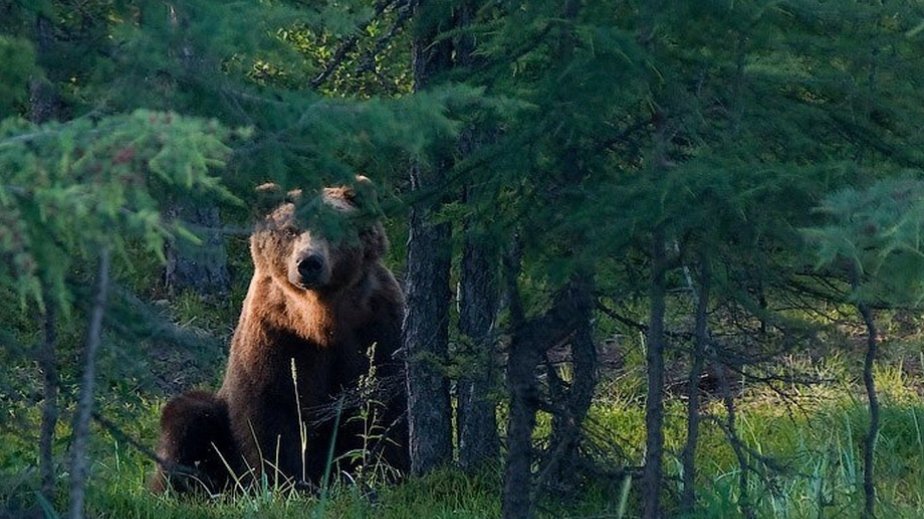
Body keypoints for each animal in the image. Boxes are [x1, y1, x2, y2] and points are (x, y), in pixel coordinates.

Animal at [152, 176, 409, 494]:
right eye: (290, 230)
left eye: (334, 225)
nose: (308, 262)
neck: (319, 318)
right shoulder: (275, 334)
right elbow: (269, 411)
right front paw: (284, 482)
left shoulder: (375, 325)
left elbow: (386, 401)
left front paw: (387, 471)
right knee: (187, 415)